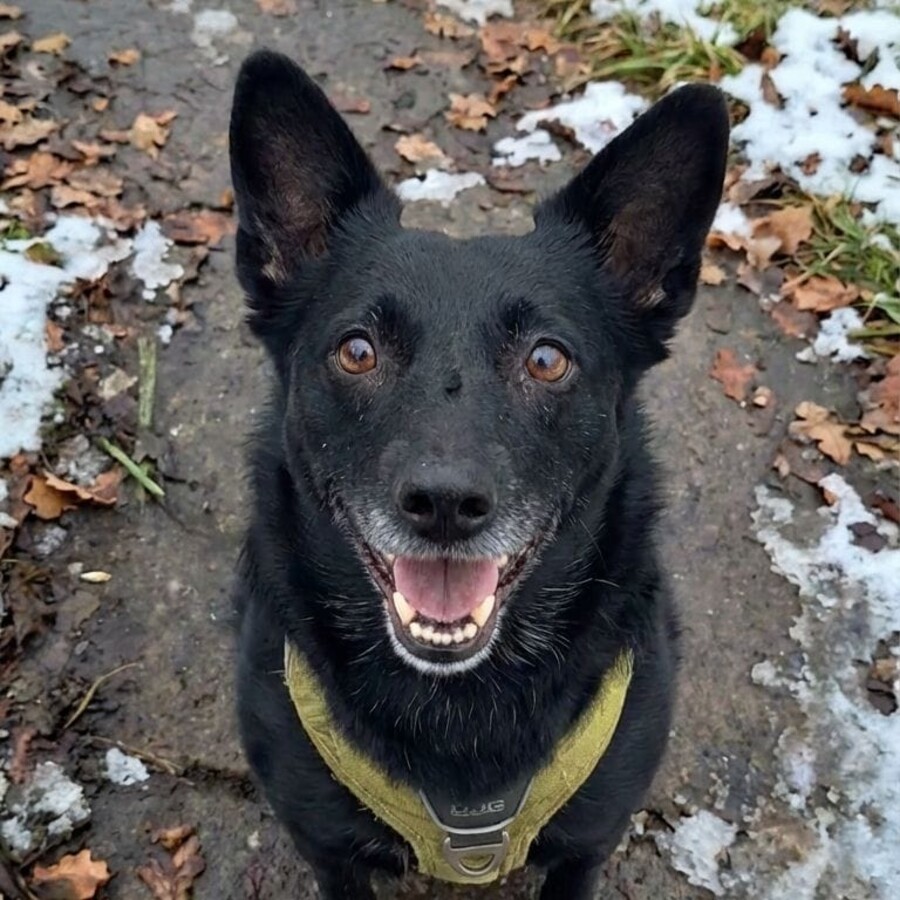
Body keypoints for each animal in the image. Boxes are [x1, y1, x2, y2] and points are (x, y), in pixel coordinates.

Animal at [229, 49, 728, 900]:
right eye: (356, 350)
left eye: (547, 359)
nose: (444, 503)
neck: (461, 707)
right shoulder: (328, 849)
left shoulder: (588, 846)